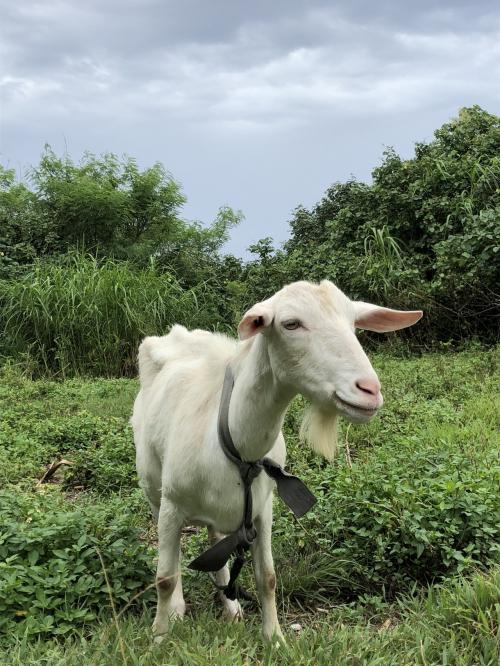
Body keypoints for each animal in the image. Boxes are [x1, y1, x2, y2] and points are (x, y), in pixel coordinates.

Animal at [133, 278, 422, 640]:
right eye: (291, 324)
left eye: (353, 323)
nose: (369, 390)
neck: (233, 444)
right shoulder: (171, 506)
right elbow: (164, 578)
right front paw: (160, 635)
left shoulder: (262, 509)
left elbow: (267, 578)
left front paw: (275, 638)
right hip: (153, 490)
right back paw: (178, 609)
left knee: (215, 543)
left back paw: (231, 607)